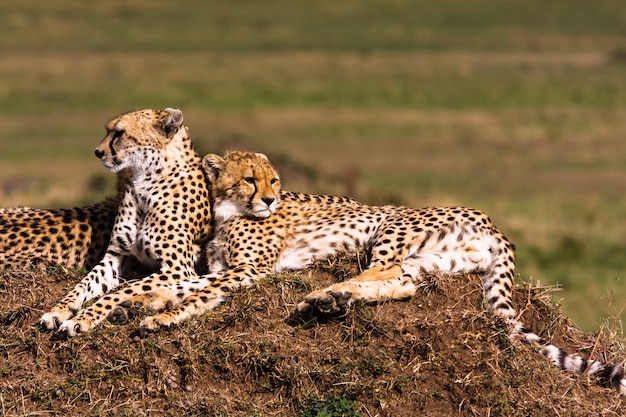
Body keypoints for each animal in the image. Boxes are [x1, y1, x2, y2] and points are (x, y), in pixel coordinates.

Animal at [38, 107, 210, 334]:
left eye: (119, 133)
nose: (98, 152)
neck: (145, 182)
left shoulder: (178, 268)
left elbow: (122, 290)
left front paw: (83, 318)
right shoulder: (115, 256)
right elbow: (83, 284)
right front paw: (58, 310)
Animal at [118, 150, 624, 394]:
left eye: (273, 180)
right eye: (249, 179)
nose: (269, 199)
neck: (229, 210)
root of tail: (496, 226)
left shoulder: (251, 271)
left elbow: (200, 292)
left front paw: (161, 316)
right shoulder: (230, 267)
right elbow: (188, 281)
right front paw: (138, 302)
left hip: (390, 226)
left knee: (382, 269)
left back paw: (324, 294)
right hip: (437, 259)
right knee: (404, 284)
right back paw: (338, 298)